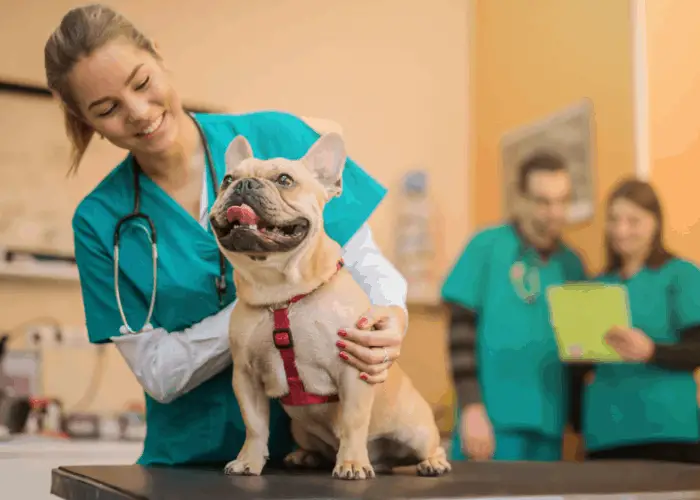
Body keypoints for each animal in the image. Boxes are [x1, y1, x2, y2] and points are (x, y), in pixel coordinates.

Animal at [208, 133, 452, 480]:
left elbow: (352, 422)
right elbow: (254, 426)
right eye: (227, 180)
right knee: (317, 447)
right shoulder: (246, 377)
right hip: (300, 428)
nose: (243, 185)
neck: (282, 293)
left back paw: (430, 462)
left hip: (416, 430)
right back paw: (305, 456)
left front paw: (351, 464)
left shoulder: (353, 370)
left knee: (431, 445)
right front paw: (248, 461)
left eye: (285, 180)